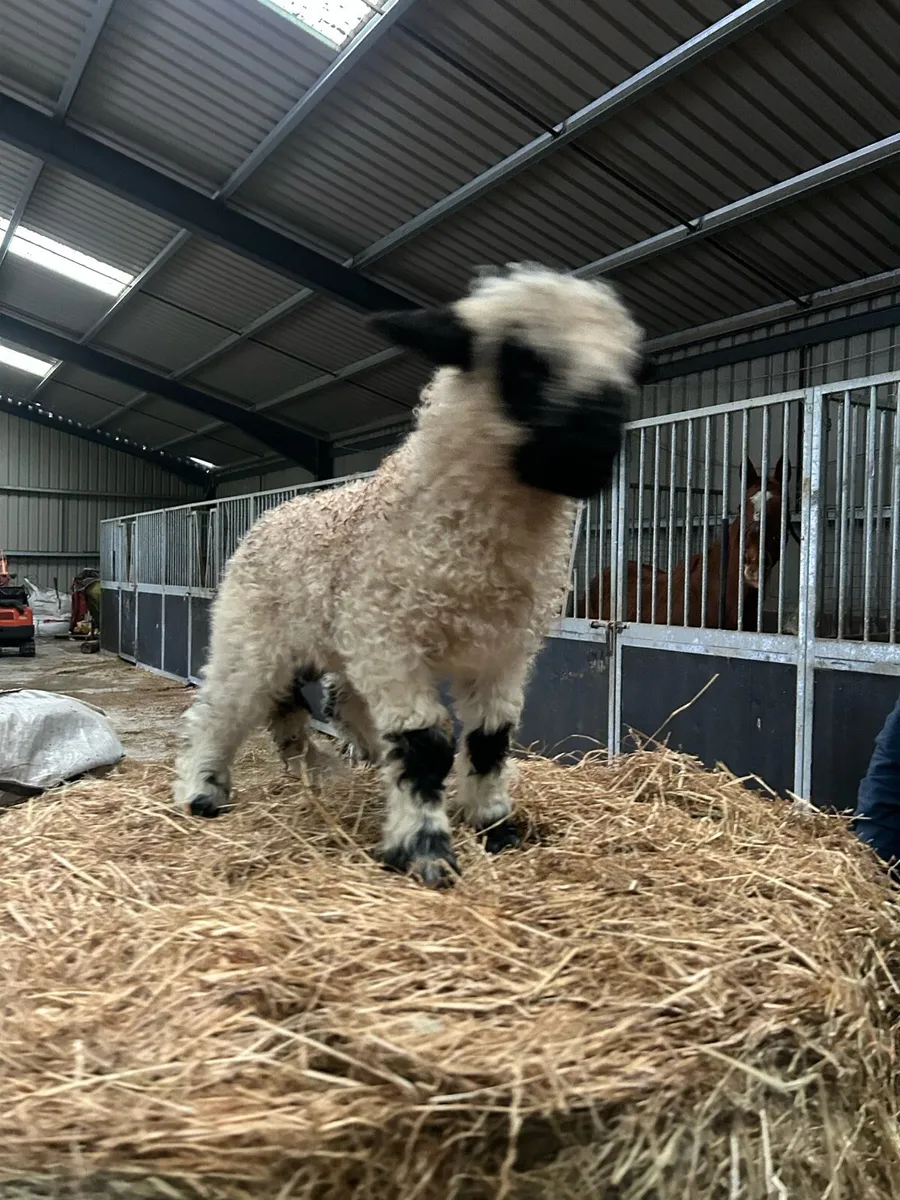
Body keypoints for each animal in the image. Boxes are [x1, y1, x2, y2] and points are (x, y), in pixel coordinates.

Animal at [173, 263, 644, 888]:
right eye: (521, 360)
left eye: (628, 370)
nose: (591, 457)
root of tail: (277, 511)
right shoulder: (392, 639)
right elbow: (426, 745)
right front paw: (425, 849)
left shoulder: (502, 651)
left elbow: (490, 739)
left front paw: (496, 827)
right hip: (251, 629)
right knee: (224, 703)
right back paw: (203, 791)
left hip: (343, 639)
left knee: (336, 704)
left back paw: (360, 762)